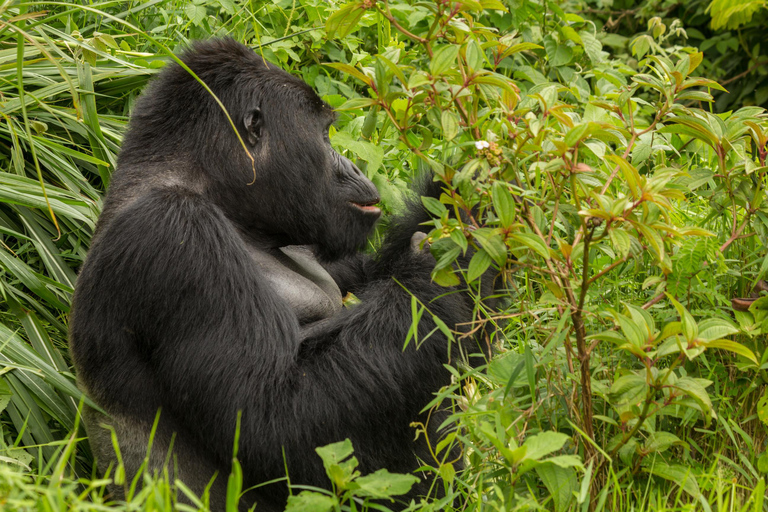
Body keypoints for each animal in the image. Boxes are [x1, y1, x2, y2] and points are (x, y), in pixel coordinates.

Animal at [69, 38, 486, 510]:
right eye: (323, 135)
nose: (355, 168)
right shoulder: (177, 234)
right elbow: (271, 423)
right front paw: (442, 265)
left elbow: (368, 275)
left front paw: (462, 199)